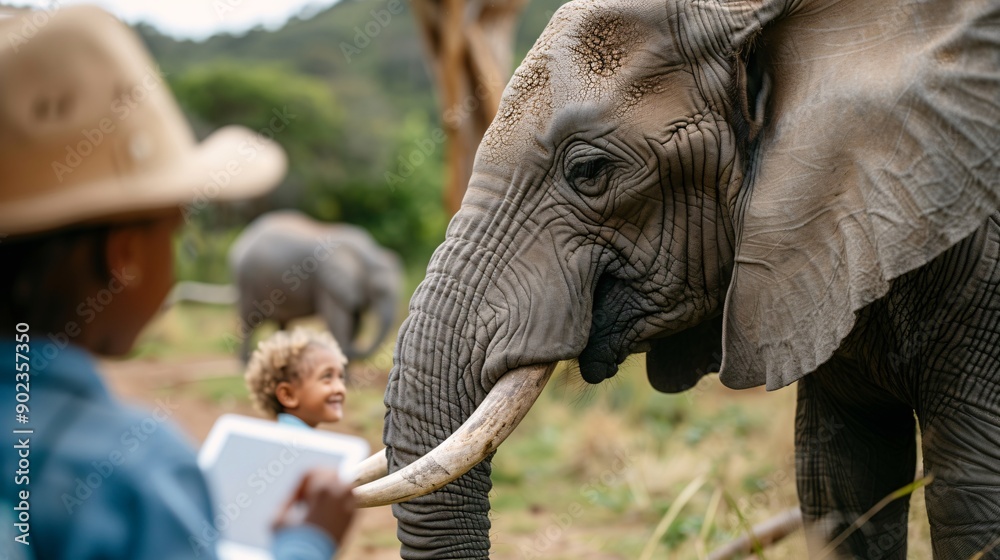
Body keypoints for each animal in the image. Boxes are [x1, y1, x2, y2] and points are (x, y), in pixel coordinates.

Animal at [228, 210, 403, 363]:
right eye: (379, 291)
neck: (369, 253)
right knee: (249, 320)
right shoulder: (327, 283)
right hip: (247, 280)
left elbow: (355, 321)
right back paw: (245, 362)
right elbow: (338, 322)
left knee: (281, 323)